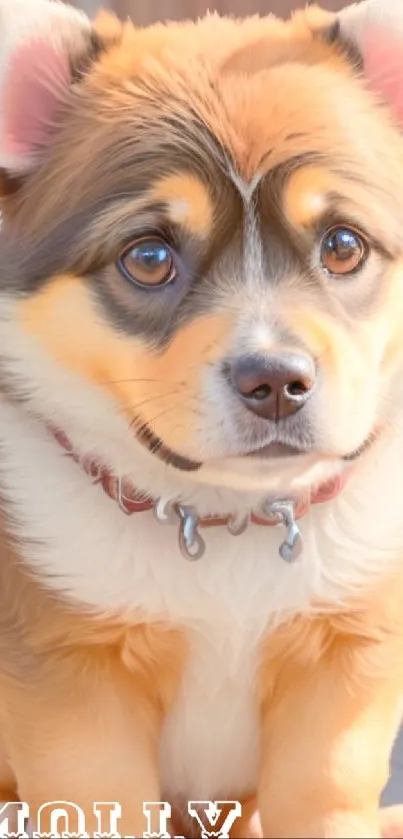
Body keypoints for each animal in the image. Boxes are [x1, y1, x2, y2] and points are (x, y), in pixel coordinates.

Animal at [0, 0, 403, 836]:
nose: (276, 382)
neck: (224, 520)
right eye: (149, 257)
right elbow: (104, 803)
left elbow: (320, 794)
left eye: (343, 245)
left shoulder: (345, 661)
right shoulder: (70, 681)